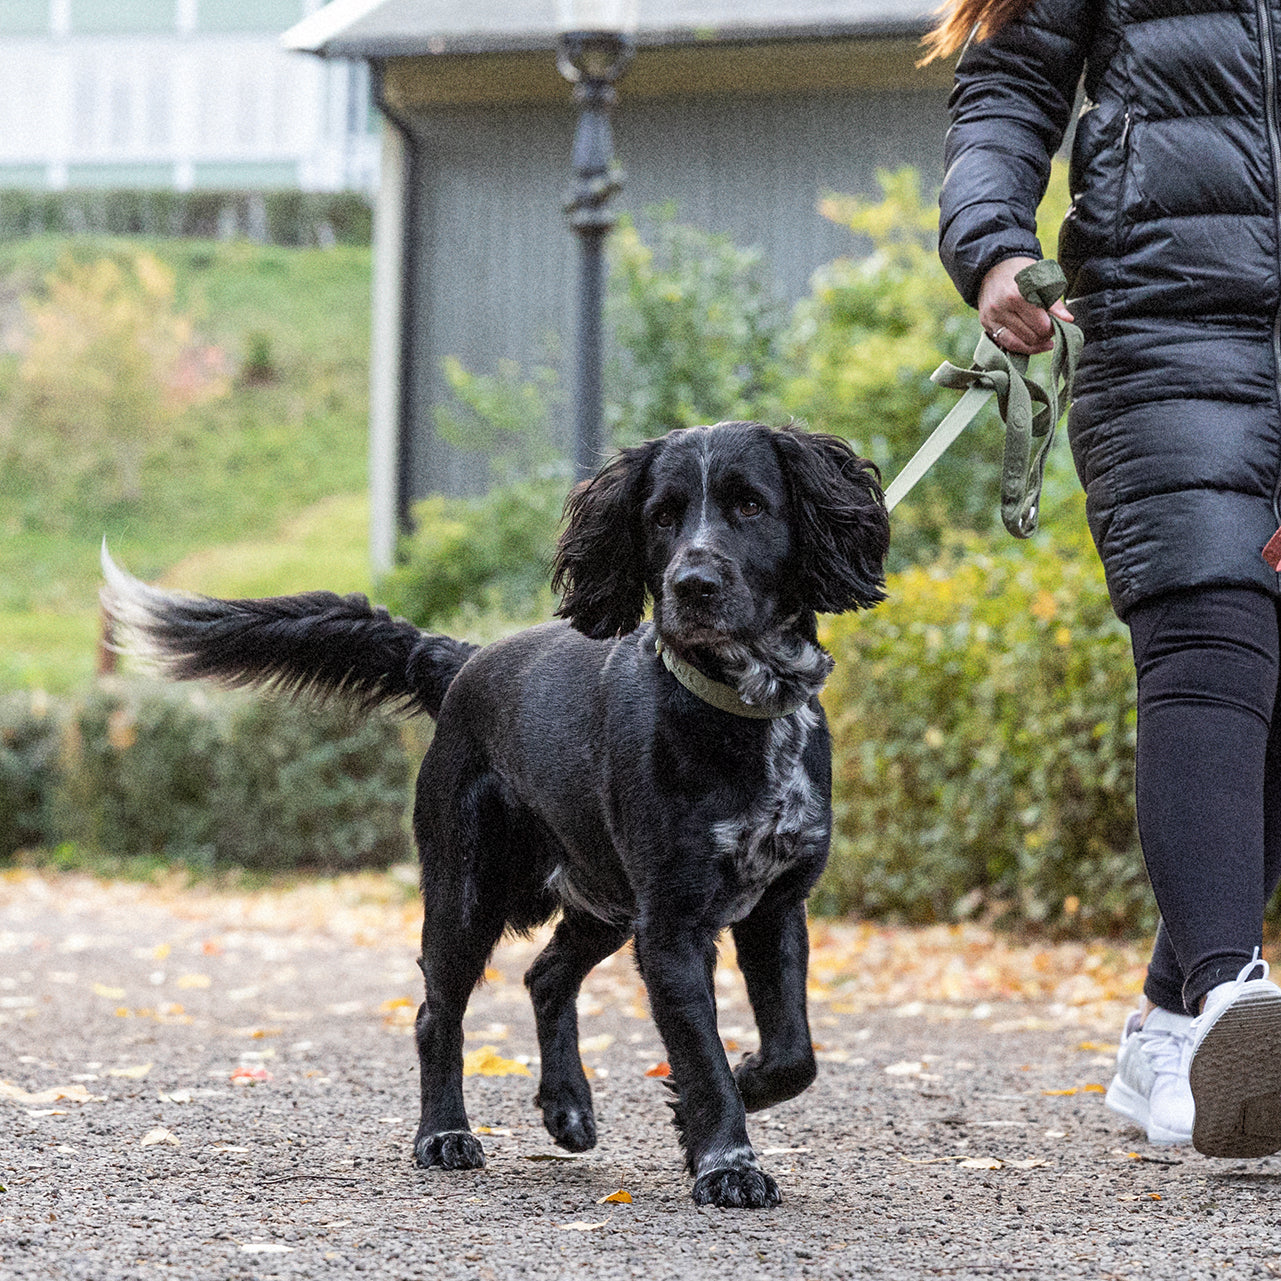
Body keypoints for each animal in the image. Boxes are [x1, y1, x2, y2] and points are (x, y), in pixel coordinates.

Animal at [102, 422, 891, 1209]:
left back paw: (566, 1104)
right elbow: (702, 1052)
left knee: (545, 976)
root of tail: (462, 660)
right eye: (661, 516)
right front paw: (726, 1160)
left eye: (751, 505)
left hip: (602, 897)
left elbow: (793, 1054)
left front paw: (712, 1104)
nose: (690, 586)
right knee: (436, 1012)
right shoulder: (671, 923)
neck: (739, 709)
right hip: (469, 892)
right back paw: (444, 1133)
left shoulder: (776, 904)